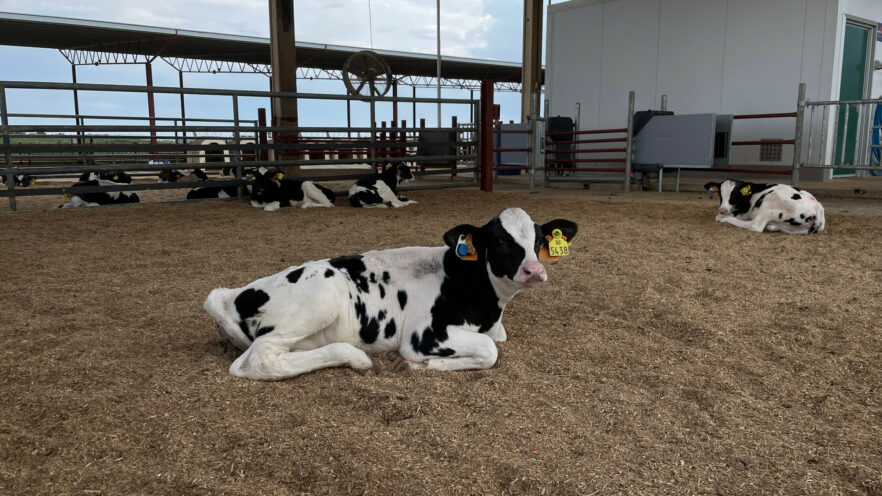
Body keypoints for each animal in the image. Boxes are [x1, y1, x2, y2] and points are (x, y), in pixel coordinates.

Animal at [205, 207, 576, 382]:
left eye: (539, 239)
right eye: (499, 240)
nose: (534, 270)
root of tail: (233, 296)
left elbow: (496, 342)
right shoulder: (425, 334)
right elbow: (489, 351)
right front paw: (419, 365)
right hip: (321, 295)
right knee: (259, 359)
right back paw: (357, 357)